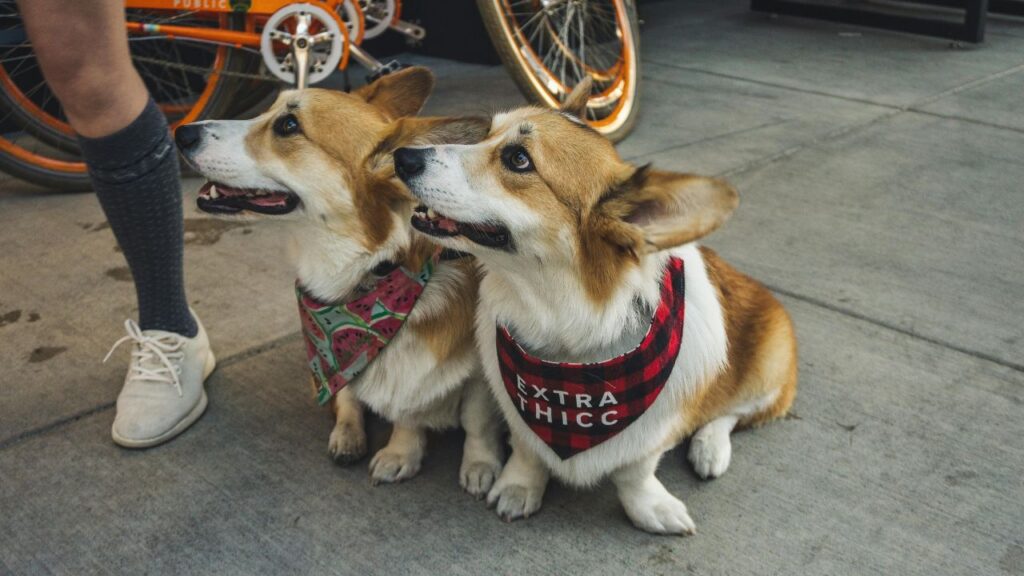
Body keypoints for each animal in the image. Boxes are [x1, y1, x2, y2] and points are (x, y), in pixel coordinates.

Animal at [175, 68, 503, 494]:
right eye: (268, 110)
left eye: (288, 125)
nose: (180, 132)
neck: (376, 274)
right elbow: (406, 413)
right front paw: (401, 453)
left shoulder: (479, 373)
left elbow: (476, 420)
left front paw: (480, 465)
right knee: (345, 396)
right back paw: (347, 436)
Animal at [393, 78, 798, 532]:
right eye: (486, 134)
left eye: (518, 159)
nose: (402, 157)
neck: (568, 327)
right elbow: (527, 449)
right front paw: (518, 487)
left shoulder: (655, 428)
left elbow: (635, 471)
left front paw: (651, 509)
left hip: (768, 370)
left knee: (733, 413)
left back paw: (710, 449)